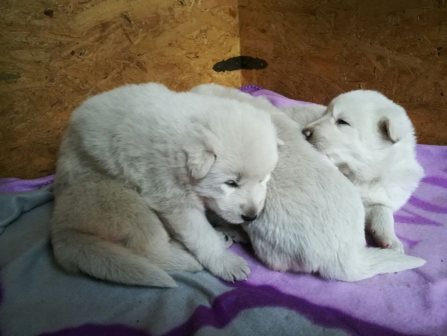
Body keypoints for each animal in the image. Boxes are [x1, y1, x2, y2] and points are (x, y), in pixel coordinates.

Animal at [300, 90, 426, 253]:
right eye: (324, 114)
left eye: (342, 122)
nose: (304, 132)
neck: (362, 175)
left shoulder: (379, 197)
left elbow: (383, 211)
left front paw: (391, 241)